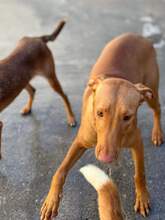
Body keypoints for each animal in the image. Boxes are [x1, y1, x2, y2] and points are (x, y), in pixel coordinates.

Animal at [0, 19, 76, 158]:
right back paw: (28, 109)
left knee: (64, 95)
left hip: (50, 77)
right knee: (33, 90)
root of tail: (38, 38)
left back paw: (71, 118)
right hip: (23, 80)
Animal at [40, 33, 163, 220]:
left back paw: (157, 133)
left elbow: (140, 173)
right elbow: (60, 171)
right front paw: (51, 201)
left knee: (158, 109)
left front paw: (142, 197)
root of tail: (138, 36)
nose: (106, 158)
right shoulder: (80, 142)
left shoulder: (137, 143)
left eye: (127, 117)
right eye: (99, 113)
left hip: (151, 92)